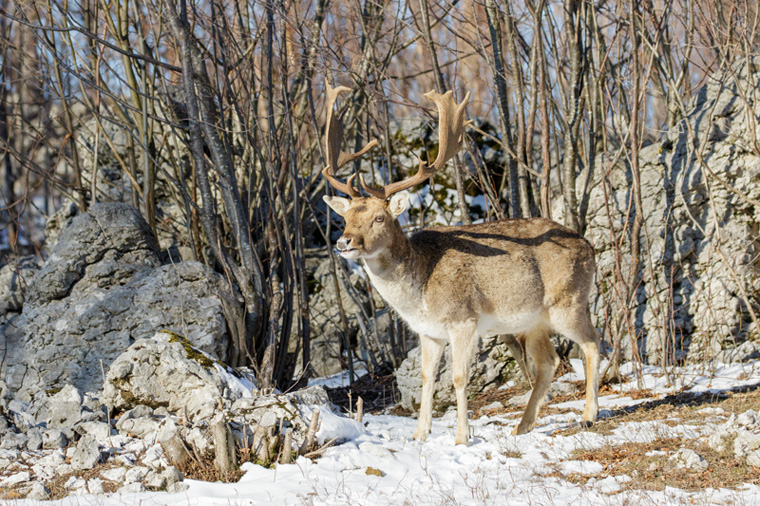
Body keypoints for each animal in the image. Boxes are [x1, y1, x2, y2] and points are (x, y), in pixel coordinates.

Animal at [320, 81, 600, 444]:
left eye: (379, 218)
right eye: (346, 217)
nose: (345, 242)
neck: (419, 291)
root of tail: (589, 247)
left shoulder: (463, 319)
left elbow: (458, 377)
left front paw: (461, 437)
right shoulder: (428, 332)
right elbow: (427, 377)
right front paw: (420, 435)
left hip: (569, 301)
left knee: (592, 343)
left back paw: (589, 415)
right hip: (534, 320)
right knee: (549, 361)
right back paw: (522, 425)